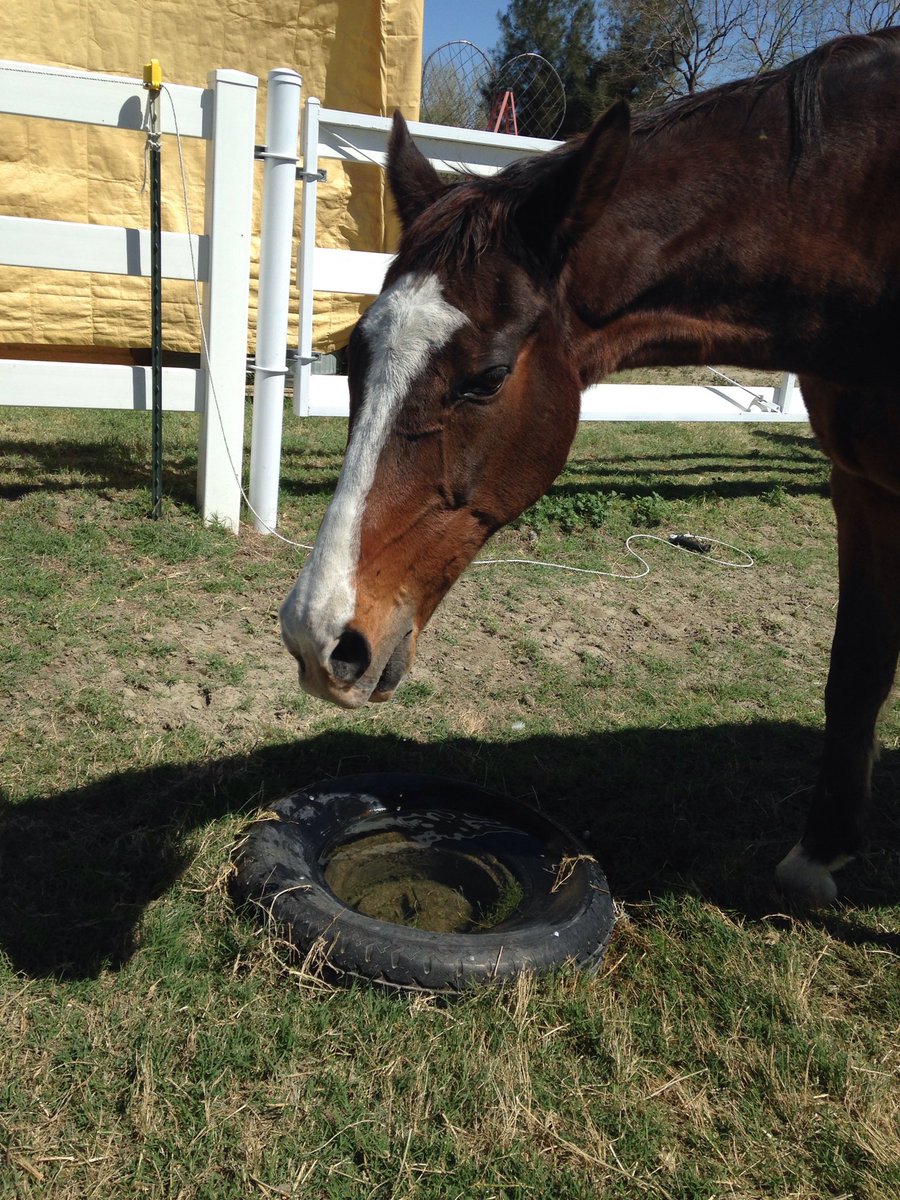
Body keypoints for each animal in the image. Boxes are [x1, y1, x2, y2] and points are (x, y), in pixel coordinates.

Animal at [285, 30, 900, 902]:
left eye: (486, 377)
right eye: (349, 357)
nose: (318, 636)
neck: (873, 228)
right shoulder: (864, 487)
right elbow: (857, 670)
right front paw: (817, 860)